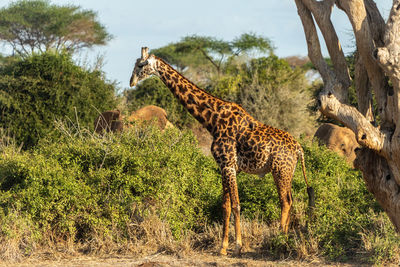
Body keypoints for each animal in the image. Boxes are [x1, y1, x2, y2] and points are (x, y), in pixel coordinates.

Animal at [130, 47, 314, 256]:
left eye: (141, 65)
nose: (131, 82)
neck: (212, 120)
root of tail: (299, 148)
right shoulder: (223, 166)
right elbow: (225, 206)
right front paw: (223, 247)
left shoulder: (228, 165)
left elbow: (236, 204)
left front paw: (238, 245)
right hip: (287, 171)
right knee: (289, 199)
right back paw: (283, 237)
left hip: (280, 170)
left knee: (285, 201)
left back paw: (278, 238)